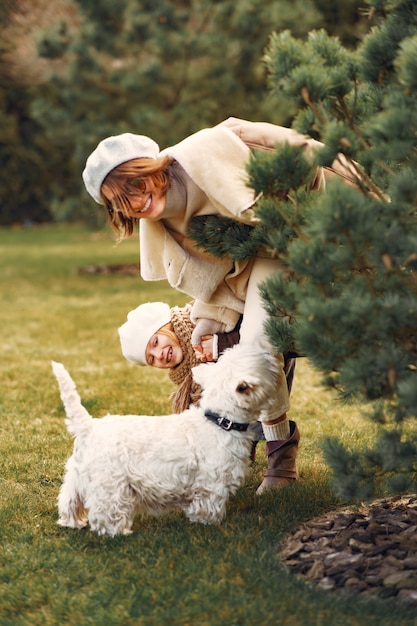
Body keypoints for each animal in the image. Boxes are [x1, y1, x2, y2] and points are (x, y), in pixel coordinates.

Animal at [52, 344, 280, 532]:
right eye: (261, 361)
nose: (269, 351)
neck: (220, 420)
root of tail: (88, 427)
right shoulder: (212, 482)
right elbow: (209, 505)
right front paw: (209, 523)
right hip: (109, 484)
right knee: (107, 513)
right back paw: (119, 532)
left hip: (76, 476)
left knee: (68, 501)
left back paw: (72, 522)